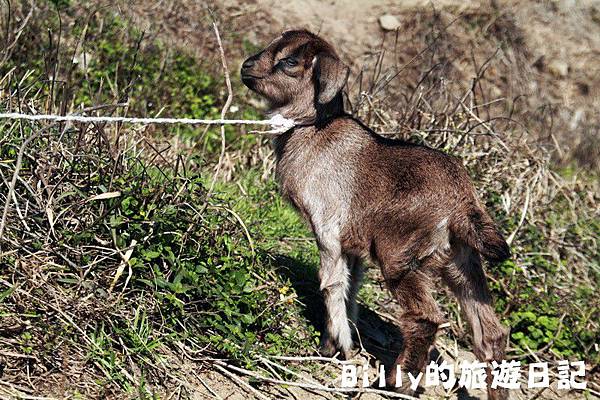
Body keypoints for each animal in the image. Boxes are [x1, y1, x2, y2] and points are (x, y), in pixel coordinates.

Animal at [241, 29, 508, 398]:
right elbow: (351, 288)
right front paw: (342, 339)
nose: (246, 66)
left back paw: (397, 382)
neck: (314, 130)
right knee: (491, 334)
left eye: (290, 61)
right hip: (462, 262)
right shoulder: (353, 243)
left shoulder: (328, 229)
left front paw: (335, 345)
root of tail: (462, 202)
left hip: (401, 255)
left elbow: (331, 283)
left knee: (425, 317)